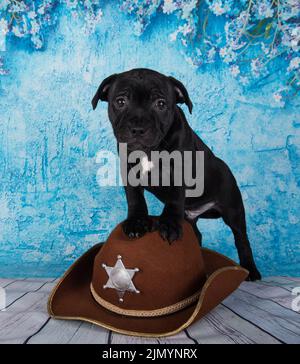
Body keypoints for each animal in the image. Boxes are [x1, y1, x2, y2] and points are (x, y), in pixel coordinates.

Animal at [92, 69, 262, 282]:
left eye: (161, 104)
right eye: (121, 101)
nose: (138, 128)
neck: (150, 150)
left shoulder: (180, 170)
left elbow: (174, 197)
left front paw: (169, 224)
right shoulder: (129, 170)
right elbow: (135, 198)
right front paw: (137, 222)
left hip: (233, 208)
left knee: (241, 237)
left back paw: (250, 269)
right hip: (191, 217)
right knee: (197, 234)